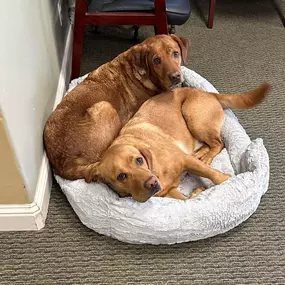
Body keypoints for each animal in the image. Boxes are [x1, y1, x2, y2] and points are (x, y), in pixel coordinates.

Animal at [85, 83, 270, 201]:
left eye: (139, 160)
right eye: (121, 176)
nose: (152, 183)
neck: (155, 168)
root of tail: (208, 93)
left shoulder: (184, 160)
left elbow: (215, 175)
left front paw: (227, 181)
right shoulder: (168, 192)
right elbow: (187, 201)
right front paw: (197, 193)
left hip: (193, 116)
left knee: (219, 143)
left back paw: (206, 157)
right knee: (210, 144)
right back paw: (201, 154)